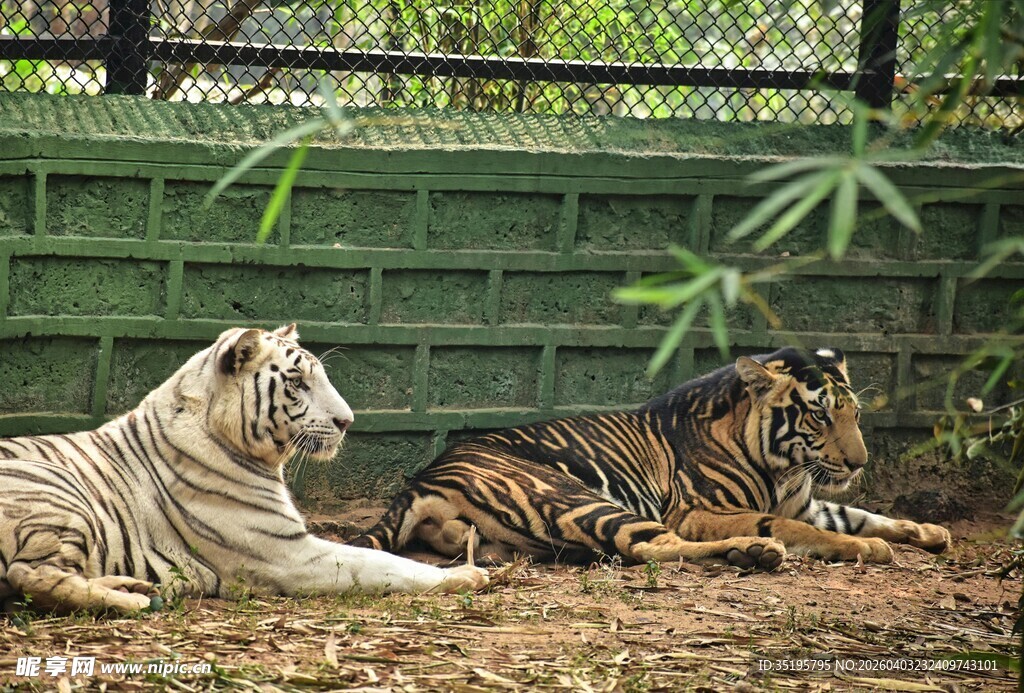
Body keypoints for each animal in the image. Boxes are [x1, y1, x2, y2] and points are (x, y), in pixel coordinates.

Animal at [0, 325, 487, 613]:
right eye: (297, 382)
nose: (347, 421)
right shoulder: (290, 556)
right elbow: (383, 564)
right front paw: (465, 575)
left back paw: (133, 588)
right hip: (57, 492)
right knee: (28, 574)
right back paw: (135, 602)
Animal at [353, 347, 951, 570]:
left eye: (855, 414)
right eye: (820, 416)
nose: (858, 463)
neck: (786, 468)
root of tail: (422, 477)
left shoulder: (810, 502)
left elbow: (863, 513)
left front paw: (928, 531)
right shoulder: (698, 510)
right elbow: (809, 528)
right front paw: (867, 548)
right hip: (581, 499)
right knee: (649, 548)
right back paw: (754, 551)